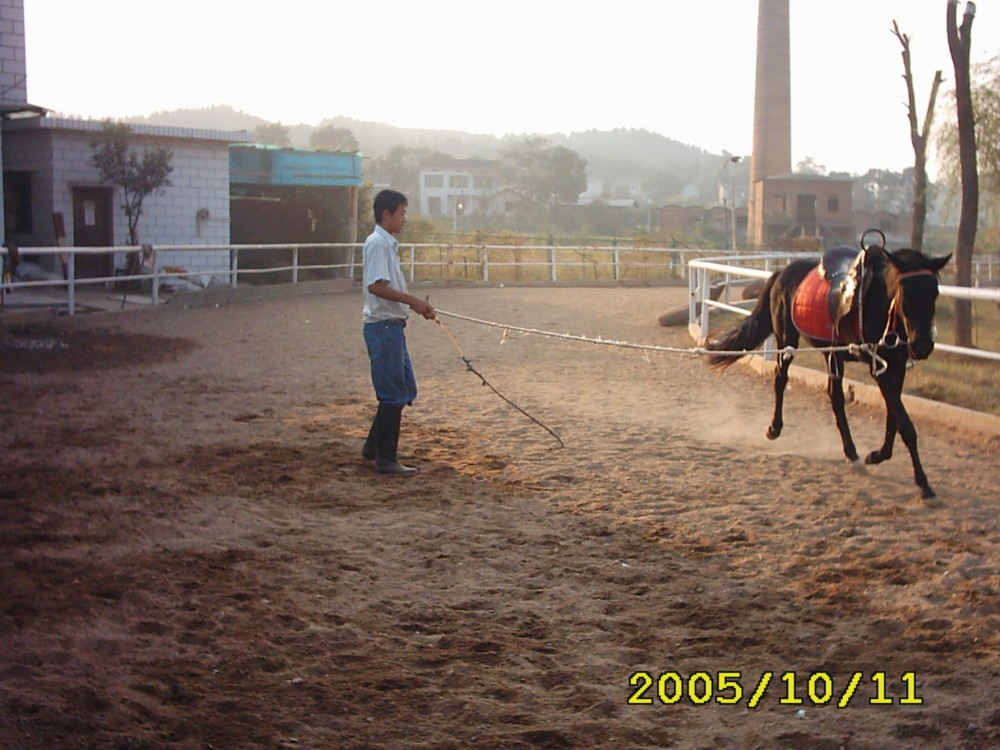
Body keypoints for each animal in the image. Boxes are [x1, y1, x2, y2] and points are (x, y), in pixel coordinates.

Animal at [704, 239, 952, 500]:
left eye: (934, 292)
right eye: (906, 292)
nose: (923, 345)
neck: (880, 305)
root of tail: (782, 273)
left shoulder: (897, 366)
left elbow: (894, 419)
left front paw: (877, 455)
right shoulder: (879, 369)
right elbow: (905, 424)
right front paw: (923, 483)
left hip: (830, 352)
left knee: (835, 398)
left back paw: (853, 455)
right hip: (787, 340)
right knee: (781, 380)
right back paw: (775, 428)